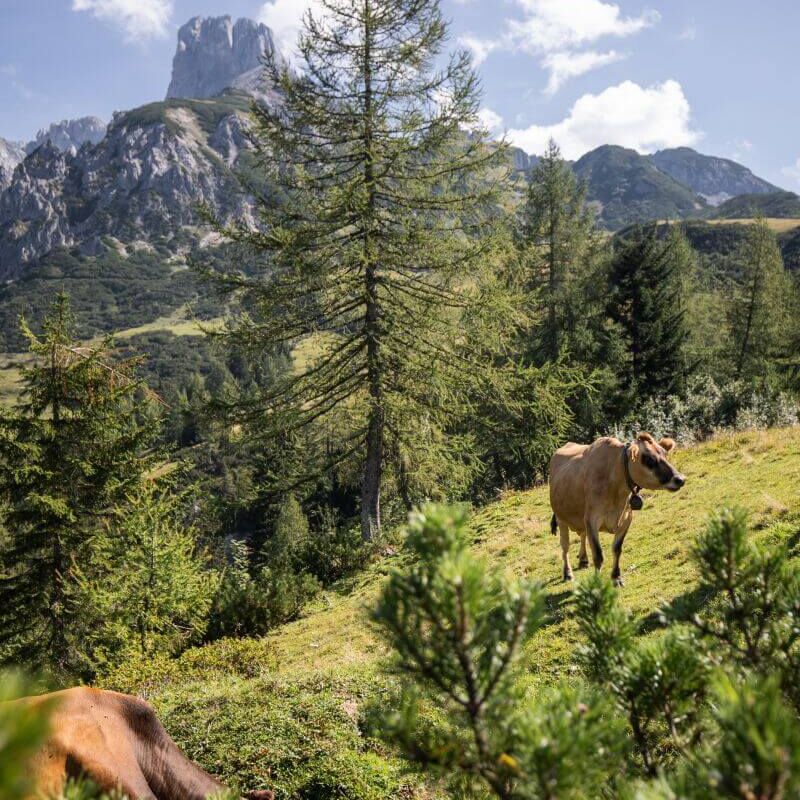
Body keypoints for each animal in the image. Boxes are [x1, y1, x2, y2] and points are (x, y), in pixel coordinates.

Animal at [549, 432, 685, 586]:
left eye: (665, 454)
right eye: (649, 459)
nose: (680, 479)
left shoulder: (626, 519)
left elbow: (617, 549)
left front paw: (616, 577)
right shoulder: (591, 520)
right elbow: (598, 554)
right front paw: (597, 582)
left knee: (582, 535)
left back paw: (583, 560)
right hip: (561, 518)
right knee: (565, 546)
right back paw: (567, 573)